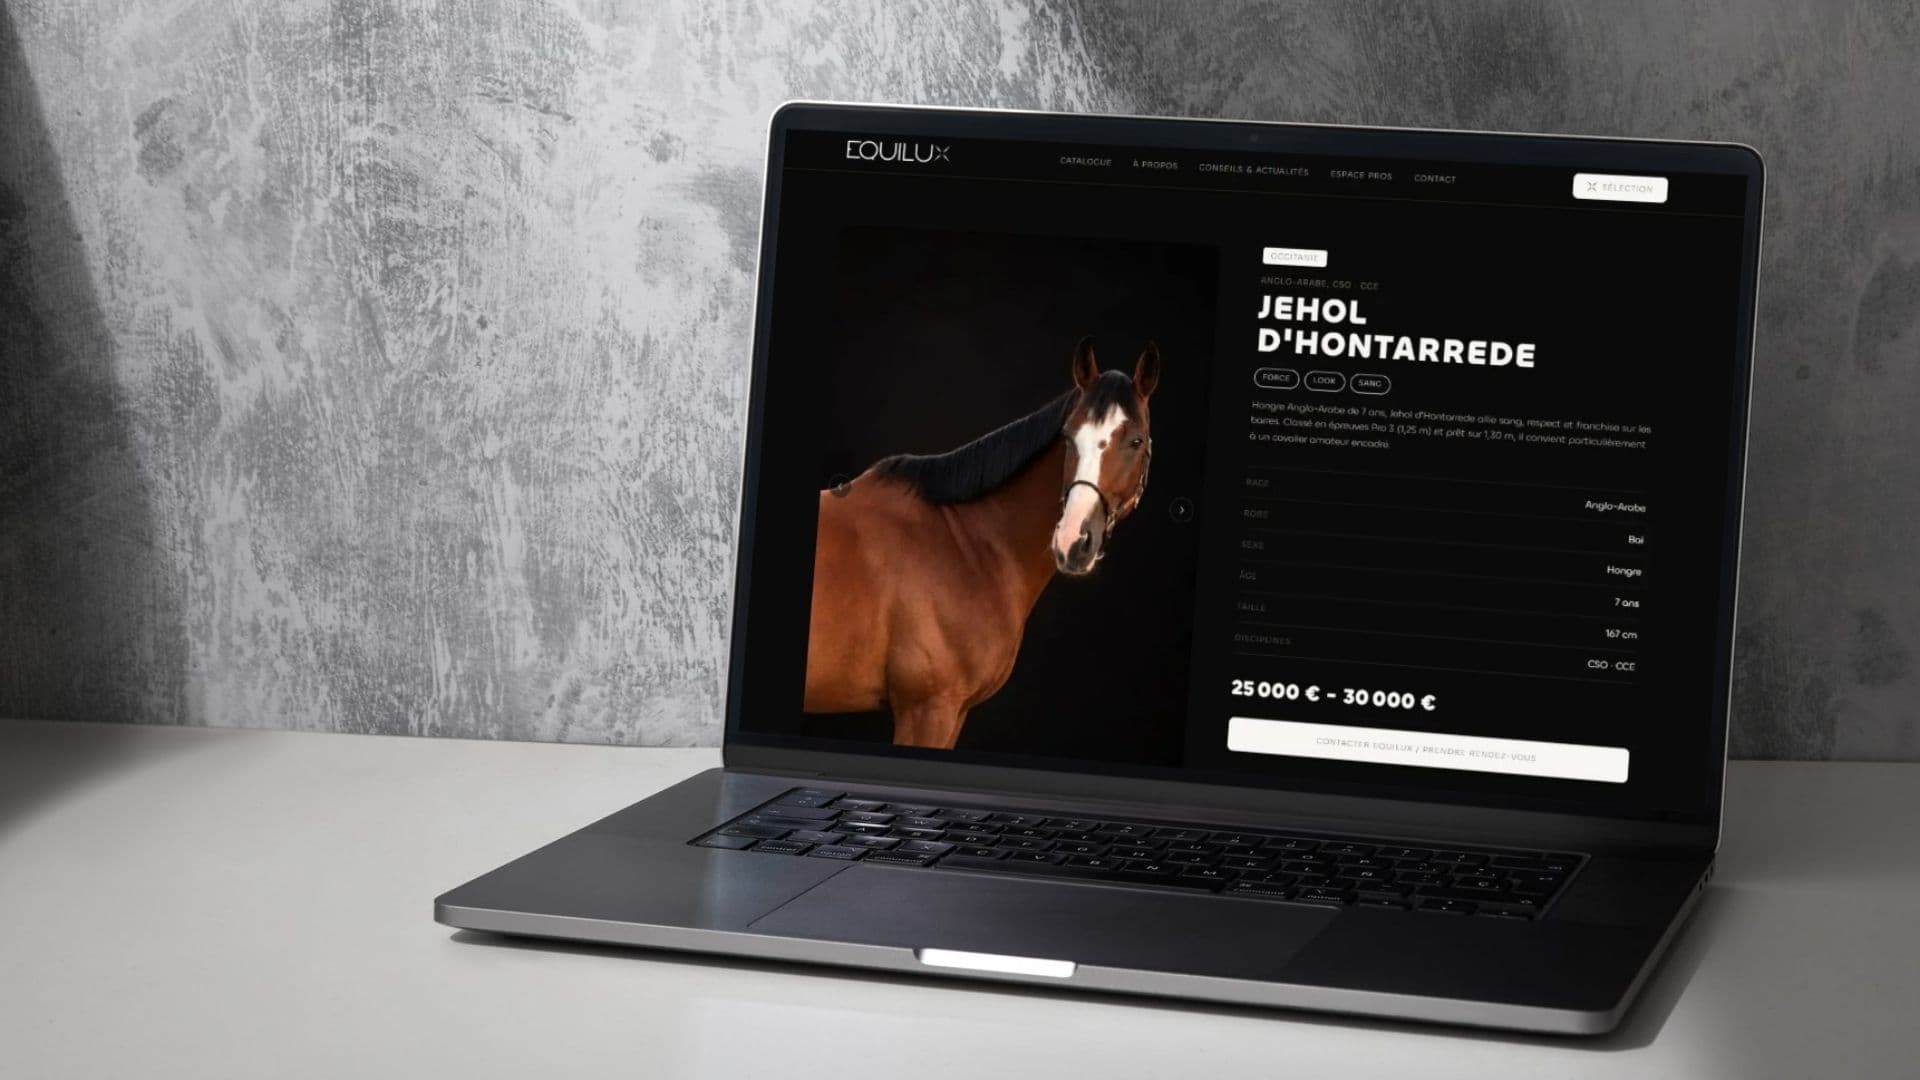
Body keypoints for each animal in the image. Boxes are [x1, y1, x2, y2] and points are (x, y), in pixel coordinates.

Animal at [804, 337, 1161, 749]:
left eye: (1135, 440)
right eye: (1069, 436)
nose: (1073, 539)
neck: (965, 543)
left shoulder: (953, 713)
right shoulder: (928, 710)